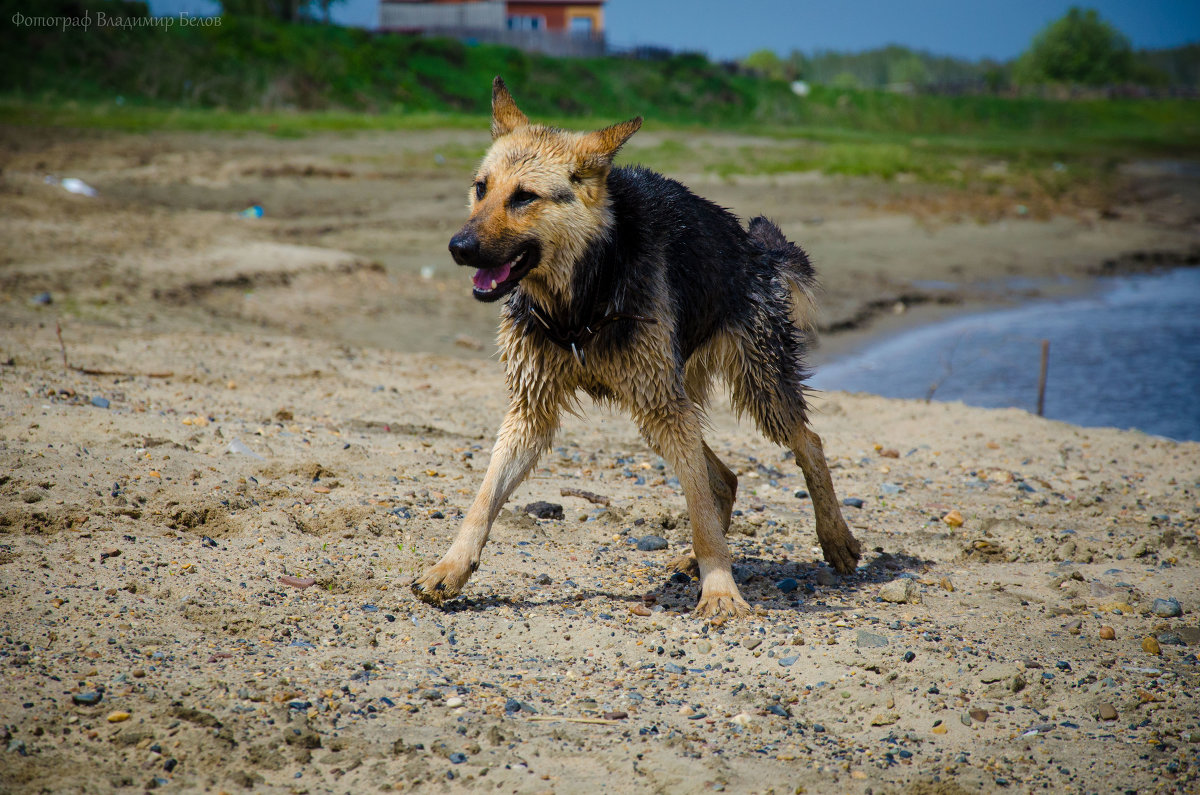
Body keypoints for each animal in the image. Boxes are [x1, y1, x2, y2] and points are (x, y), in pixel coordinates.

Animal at [415, 78, 864, 619]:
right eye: (481, 188)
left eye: (524, 197)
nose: (458, 247)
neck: (581, 297)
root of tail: (756, 250)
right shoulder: (531, 412)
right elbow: (483, 500)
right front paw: (451, 567)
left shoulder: (661, 404)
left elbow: (700, 511)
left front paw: (720, 589)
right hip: (657, 404)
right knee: (722, 477)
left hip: (743, 388)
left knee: (807, 444)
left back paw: (834, 537)